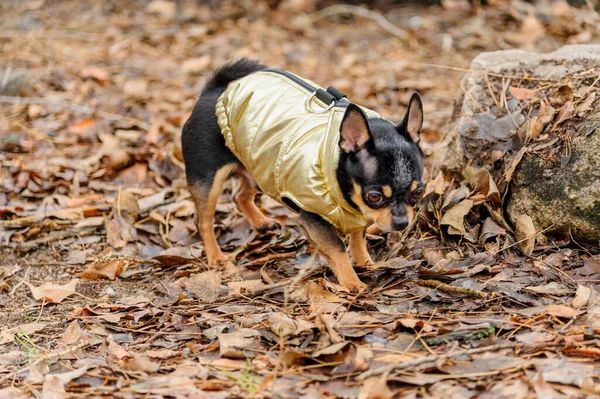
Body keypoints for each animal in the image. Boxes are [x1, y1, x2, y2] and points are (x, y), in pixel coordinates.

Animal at [180, 58, 424, 290]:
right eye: (374, 197)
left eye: (418, 192)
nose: (402, 223)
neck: (334, 165)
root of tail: (214, 91)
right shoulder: (313, 216)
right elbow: (337, 248)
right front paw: (351, 281)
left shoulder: (357, 213)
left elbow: (358, 235)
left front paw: (365, 262)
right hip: (208, 179)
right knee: (203, 220)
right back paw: (216, 257)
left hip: (256, 167)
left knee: (240, 195)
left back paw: (260, 222)